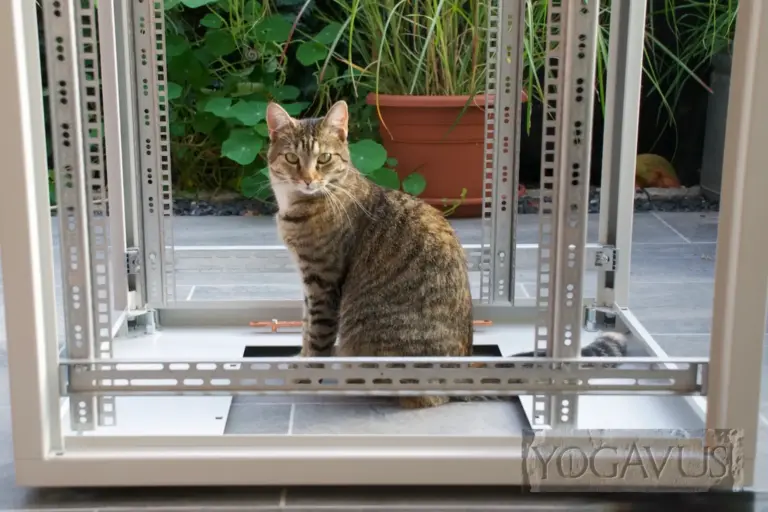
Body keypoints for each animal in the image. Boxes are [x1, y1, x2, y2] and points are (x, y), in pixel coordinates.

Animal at [265, 100, 628, 408]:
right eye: (292, 159)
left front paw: (307, 372)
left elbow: (317, 334)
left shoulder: (323, 282)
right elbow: (306, 327)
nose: (308, 179)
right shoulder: (310, 283)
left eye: (324, 159)